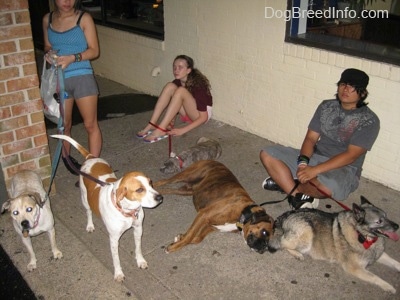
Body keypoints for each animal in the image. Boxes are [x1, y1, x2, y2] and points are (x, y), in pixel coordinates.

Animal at [51, 134, 162, 282]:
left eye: (150, 183)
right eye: (139, 190)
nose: (160, 197)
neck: (126, 211)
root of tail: (91, 157)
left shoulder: (138, 229)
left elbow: (138, 248)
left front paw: (140, 261)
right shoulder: (114, 239)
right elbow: (116, 260)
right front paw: (118, 273)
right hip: (85, 199)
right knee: (88, 212)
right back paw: (90, 225)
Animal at [268, 196, 400, 294]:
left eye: (386, 216)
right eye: (379, 221)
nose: (397, 226)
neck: (361, 234)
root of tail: (285, 216)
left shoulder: (378, 254)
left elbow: (394, 262)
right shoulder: (354, 268)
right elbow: (374, 277)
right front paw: (388, 286)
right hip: (308, 233)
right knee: (282, 242)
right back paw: (297, 254)